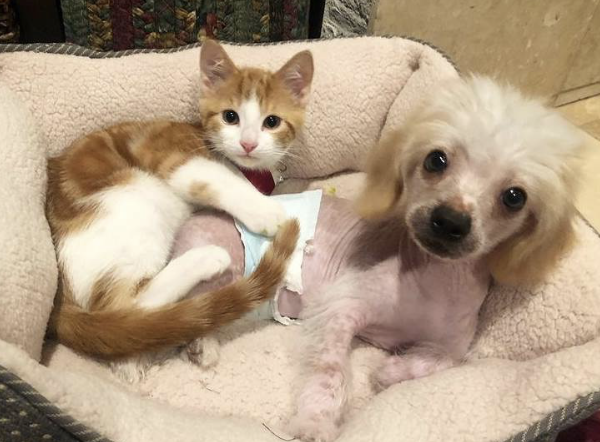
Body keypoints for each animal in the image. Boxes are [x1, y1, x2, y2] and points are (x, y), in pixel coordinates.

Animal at [45, 40, 312, 381]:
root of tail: (58, 303)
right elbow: (222, 180)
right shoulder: (179, 158)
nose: (248, 144)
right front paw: (269, 212)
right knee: (126, 304)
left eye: (272, 122)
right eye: (230, 116)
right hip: (136, 193)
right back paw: (206, 259)